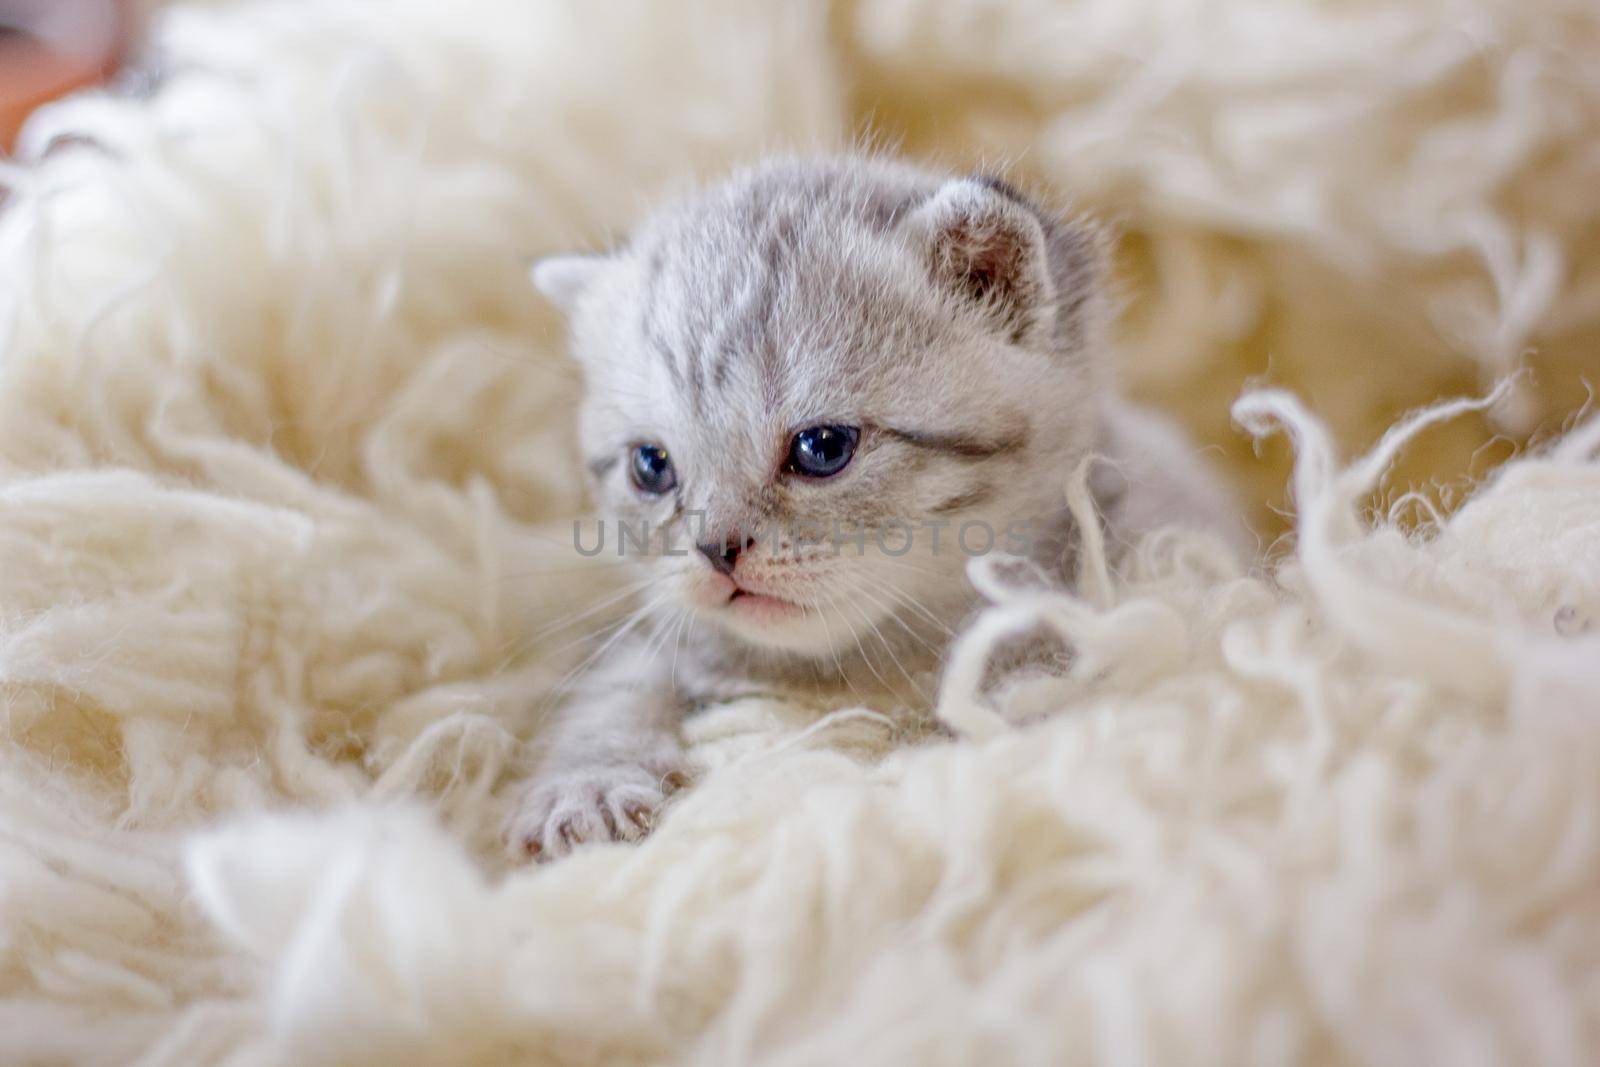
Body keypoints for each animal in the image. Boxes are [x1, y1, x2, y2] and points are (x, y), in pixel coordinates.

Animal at [505, 156, 1241, 857]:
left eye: (822, 448)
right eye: (652, 466)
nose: (715, 550)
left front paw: (1023, 692)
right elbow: (620, 679)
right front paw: (588, 782)